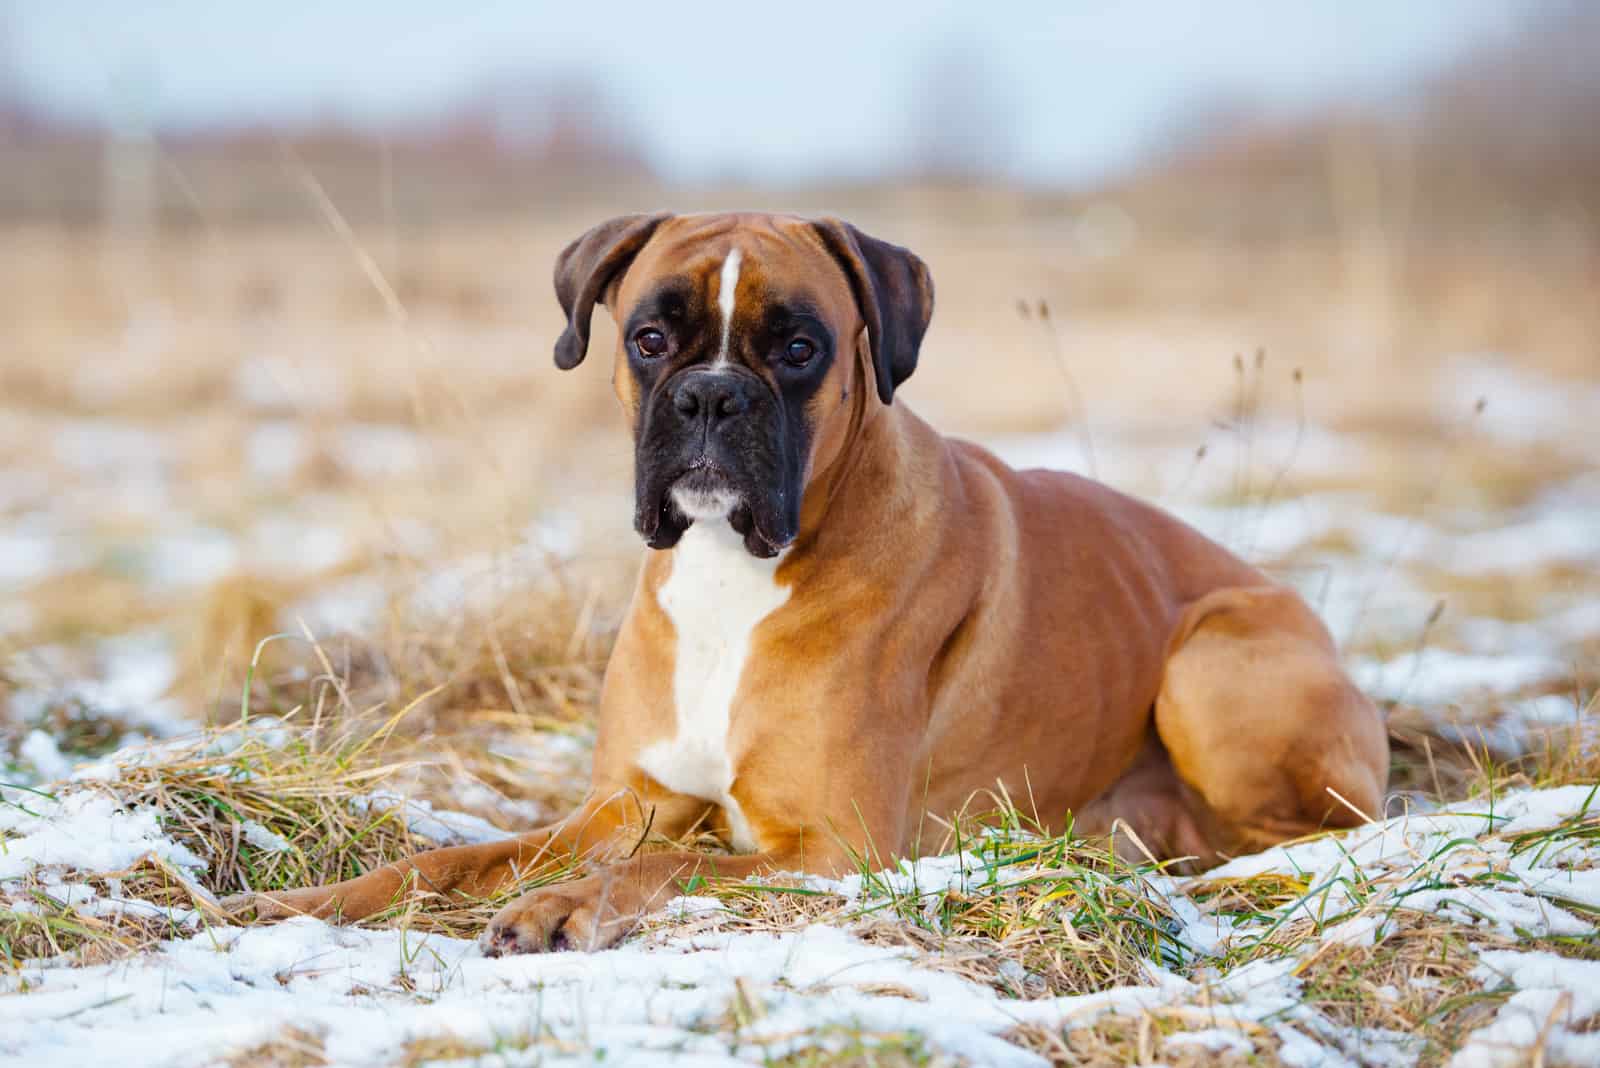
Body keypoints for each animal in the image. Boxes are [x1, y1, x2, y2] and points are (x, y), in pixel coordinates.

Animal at [233, 211, 1388, 952]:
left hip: (1212, 654)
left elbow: (667, 868)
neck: (730, 574)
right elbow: (453, 860)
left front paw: (561, 908)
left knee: (1307, 835)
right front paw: (300, 906)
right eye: (648, 338)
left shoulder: (831, 847)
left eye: (797, 347)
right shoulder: (622, 807)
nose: (709, 397)